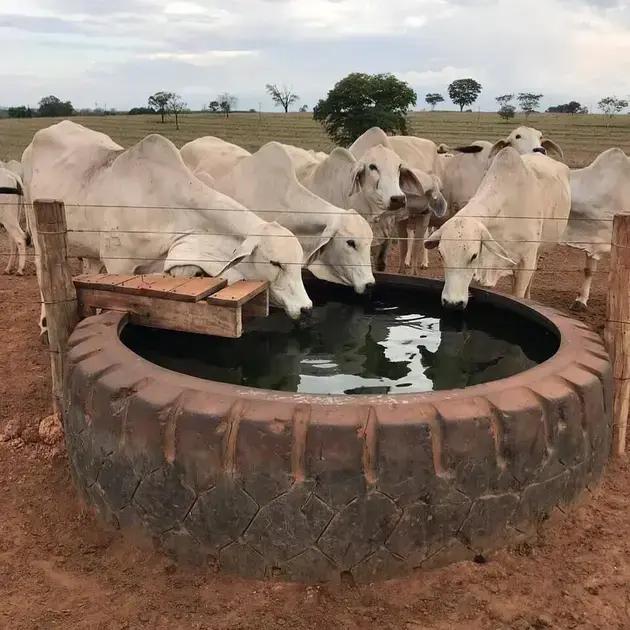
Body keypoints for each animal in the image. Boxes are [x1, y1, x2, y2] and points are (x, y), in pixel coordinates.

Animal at [23, 121, 314, 320]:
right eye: (275, 262)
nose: (306, 308)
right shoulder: (119, 264)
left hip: (89, 245)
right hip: (36, 228)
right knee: (42, 276)